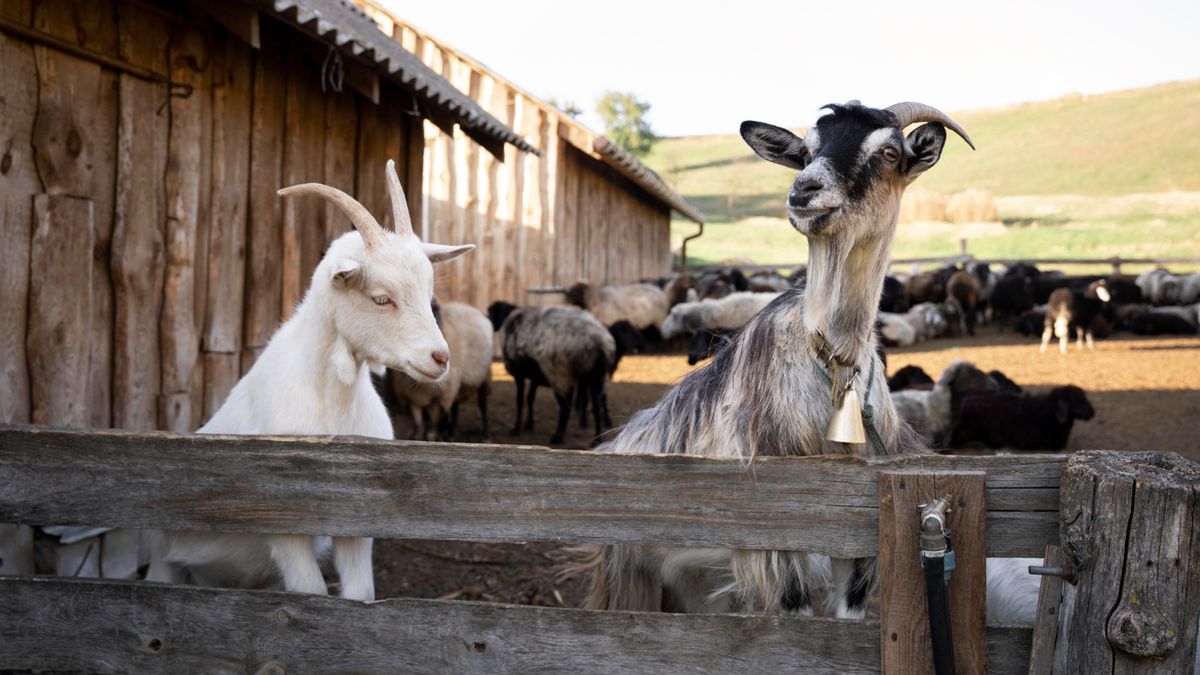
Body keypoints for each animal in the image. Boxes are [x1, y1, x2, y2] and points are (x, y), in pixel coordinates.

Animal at [145, 159, 472, 595]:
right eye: (381, 298)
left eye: (428, 291)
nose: (440, 358)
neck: (332, 404)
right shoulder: (285, 526)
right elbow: (310, 594)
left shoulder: (356, 523)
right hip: (163, 559)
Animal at [388, 300, 492, 441]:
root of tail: (467, 306)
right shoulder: (412, 397)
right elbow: (418, 430)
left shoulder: (439, 397)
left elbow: (431, 432)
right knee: (455, 406)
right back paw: (451, 433)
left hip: (482, 377)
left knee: (483, 404)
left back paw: (485, 435)